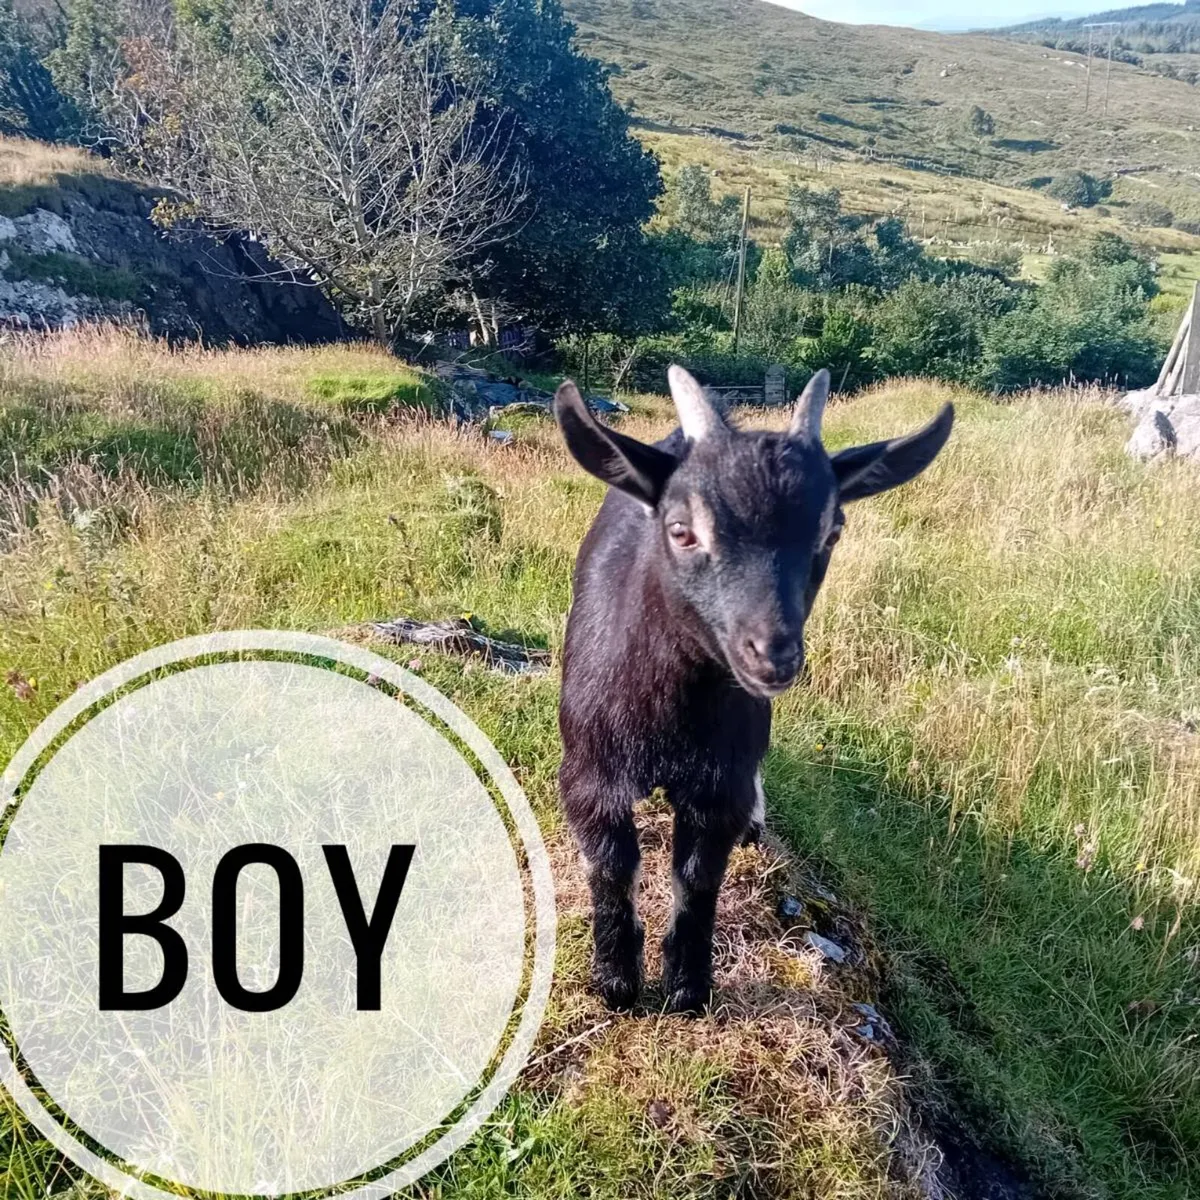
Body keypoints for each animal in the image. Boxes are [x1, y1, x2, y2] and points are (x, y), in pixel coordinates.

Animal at [553, 365, 953, 1014]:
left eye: (831, 532)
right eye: (681, 531)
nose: (774, 656)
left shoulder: (723, 782)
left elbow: (697, 874)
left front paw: (687, 986)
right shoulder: (590, 771)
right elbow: (613, 864)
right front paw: (616, 982)